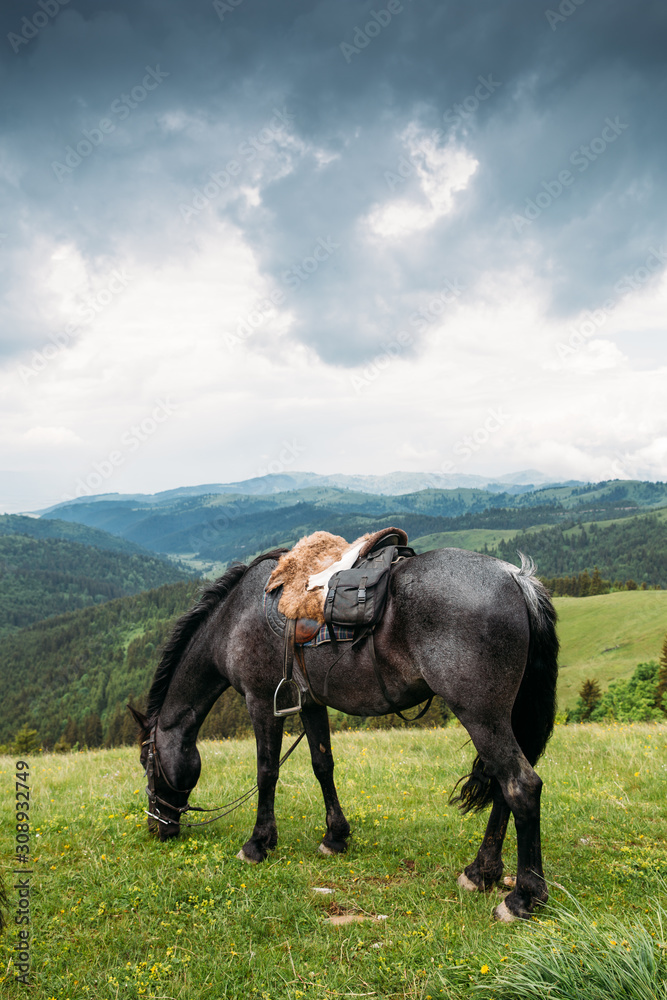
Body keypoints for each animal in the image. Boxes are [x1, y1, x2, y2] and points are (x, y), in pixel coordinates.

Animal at [130, 548, 560, 920]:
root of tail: (515, 577)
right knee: (503, 787)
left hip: (481, 716)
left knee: (521, 785)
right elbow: (323, 764)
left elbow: (267, 772)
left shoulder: (261, 701)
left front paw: (258, 843)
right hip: (501, 718)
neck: (234, 618)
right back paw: (481, 872)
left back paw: (523, 897)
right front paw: (335, 837)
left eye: (147, 763)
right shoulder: (310, 703)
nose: (155, 826)